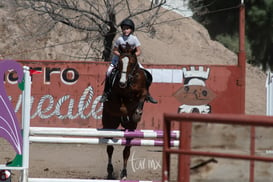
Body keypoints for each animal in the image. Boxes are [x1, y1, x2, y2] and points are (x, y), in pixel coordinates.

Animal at [101, 42, 149, 179]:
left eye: (132, 63)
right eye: (120, 62)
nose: (122, 82)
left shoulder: (142, 91)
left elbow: (142, 98)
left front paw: (137, 114)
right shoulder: (116, 97)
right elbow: (122, 106)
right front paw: (125, 115)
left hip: (131, 130)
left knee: (126, 150)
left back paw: (124, 173)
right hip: (109, 123)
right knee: (110, 147)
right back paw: (110, 171)